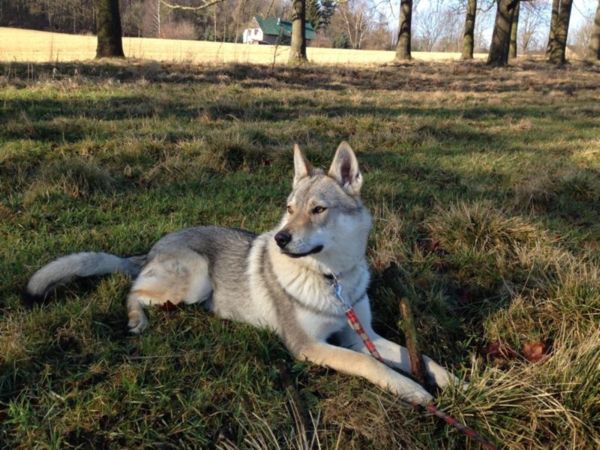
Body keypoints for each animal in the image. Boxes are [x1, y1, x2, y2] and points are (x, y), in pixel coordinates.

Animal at [25, 142, 458, 405]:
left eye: (318, 210)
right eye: (289, 208)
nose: (281, 238)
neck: (331, 280)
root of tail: (155, 246)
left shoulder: (360, 335)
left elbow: (414, 354)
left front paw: (454, 381)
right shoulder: (309, 347)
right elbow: (371, 365)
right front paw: (413, 391)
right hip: (195, 280)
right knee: (132, 290)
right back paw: (137, 319)